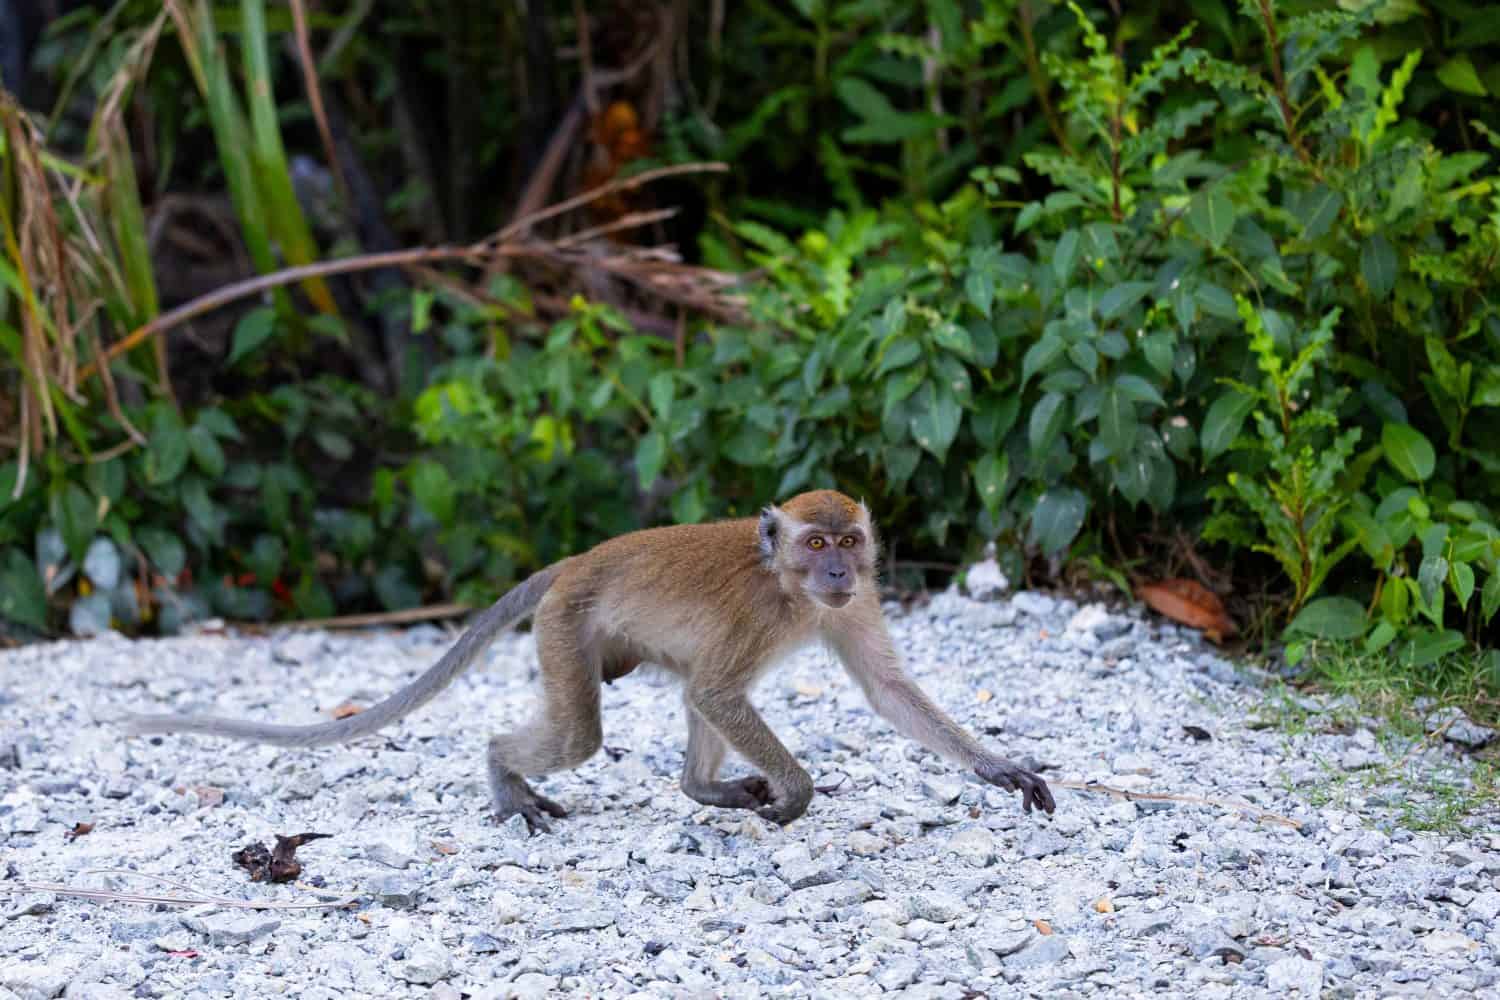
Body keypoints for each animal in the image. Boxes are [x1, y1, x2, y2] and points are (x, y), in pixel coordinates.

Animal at [122, 490, 1055, 830]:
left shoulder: (858, 601)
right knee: (585, 736)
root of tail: (572, 564)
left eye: (850, 542)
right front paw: (796, 792)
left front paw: (1000, 768)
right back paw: (505, 777)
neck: (786, 585)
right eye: (815, 542)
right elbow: (722, 693)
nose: (835, 571)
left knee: (687, 697)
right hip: (566, 630)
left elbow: (887, 689)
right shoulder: (758, 612)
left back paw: (700, 790)